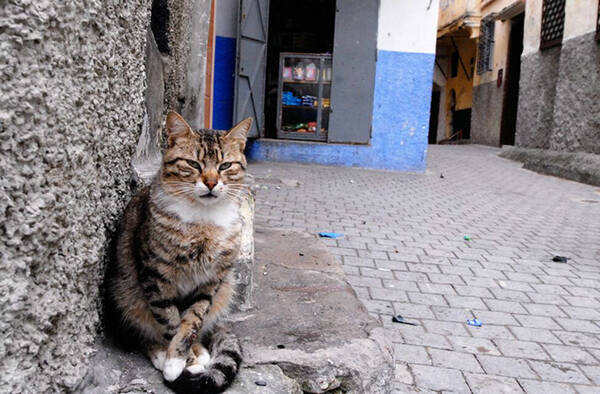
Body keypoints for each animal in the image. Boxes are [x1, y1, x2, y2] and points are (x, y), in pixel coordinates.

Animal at [105, 110, 251, 390]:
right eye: (193, 164)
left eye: (225, 166)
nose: (211, 183)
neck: (204, 220)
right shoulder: (157, 276)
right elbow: (170, 321)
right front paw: (179, 362)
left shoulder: (210, 282)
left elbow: (192, 320)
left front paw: (189, 355)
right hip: (125, 295)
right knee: (142, 334)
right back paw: (163, 354)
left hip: (225, 288)